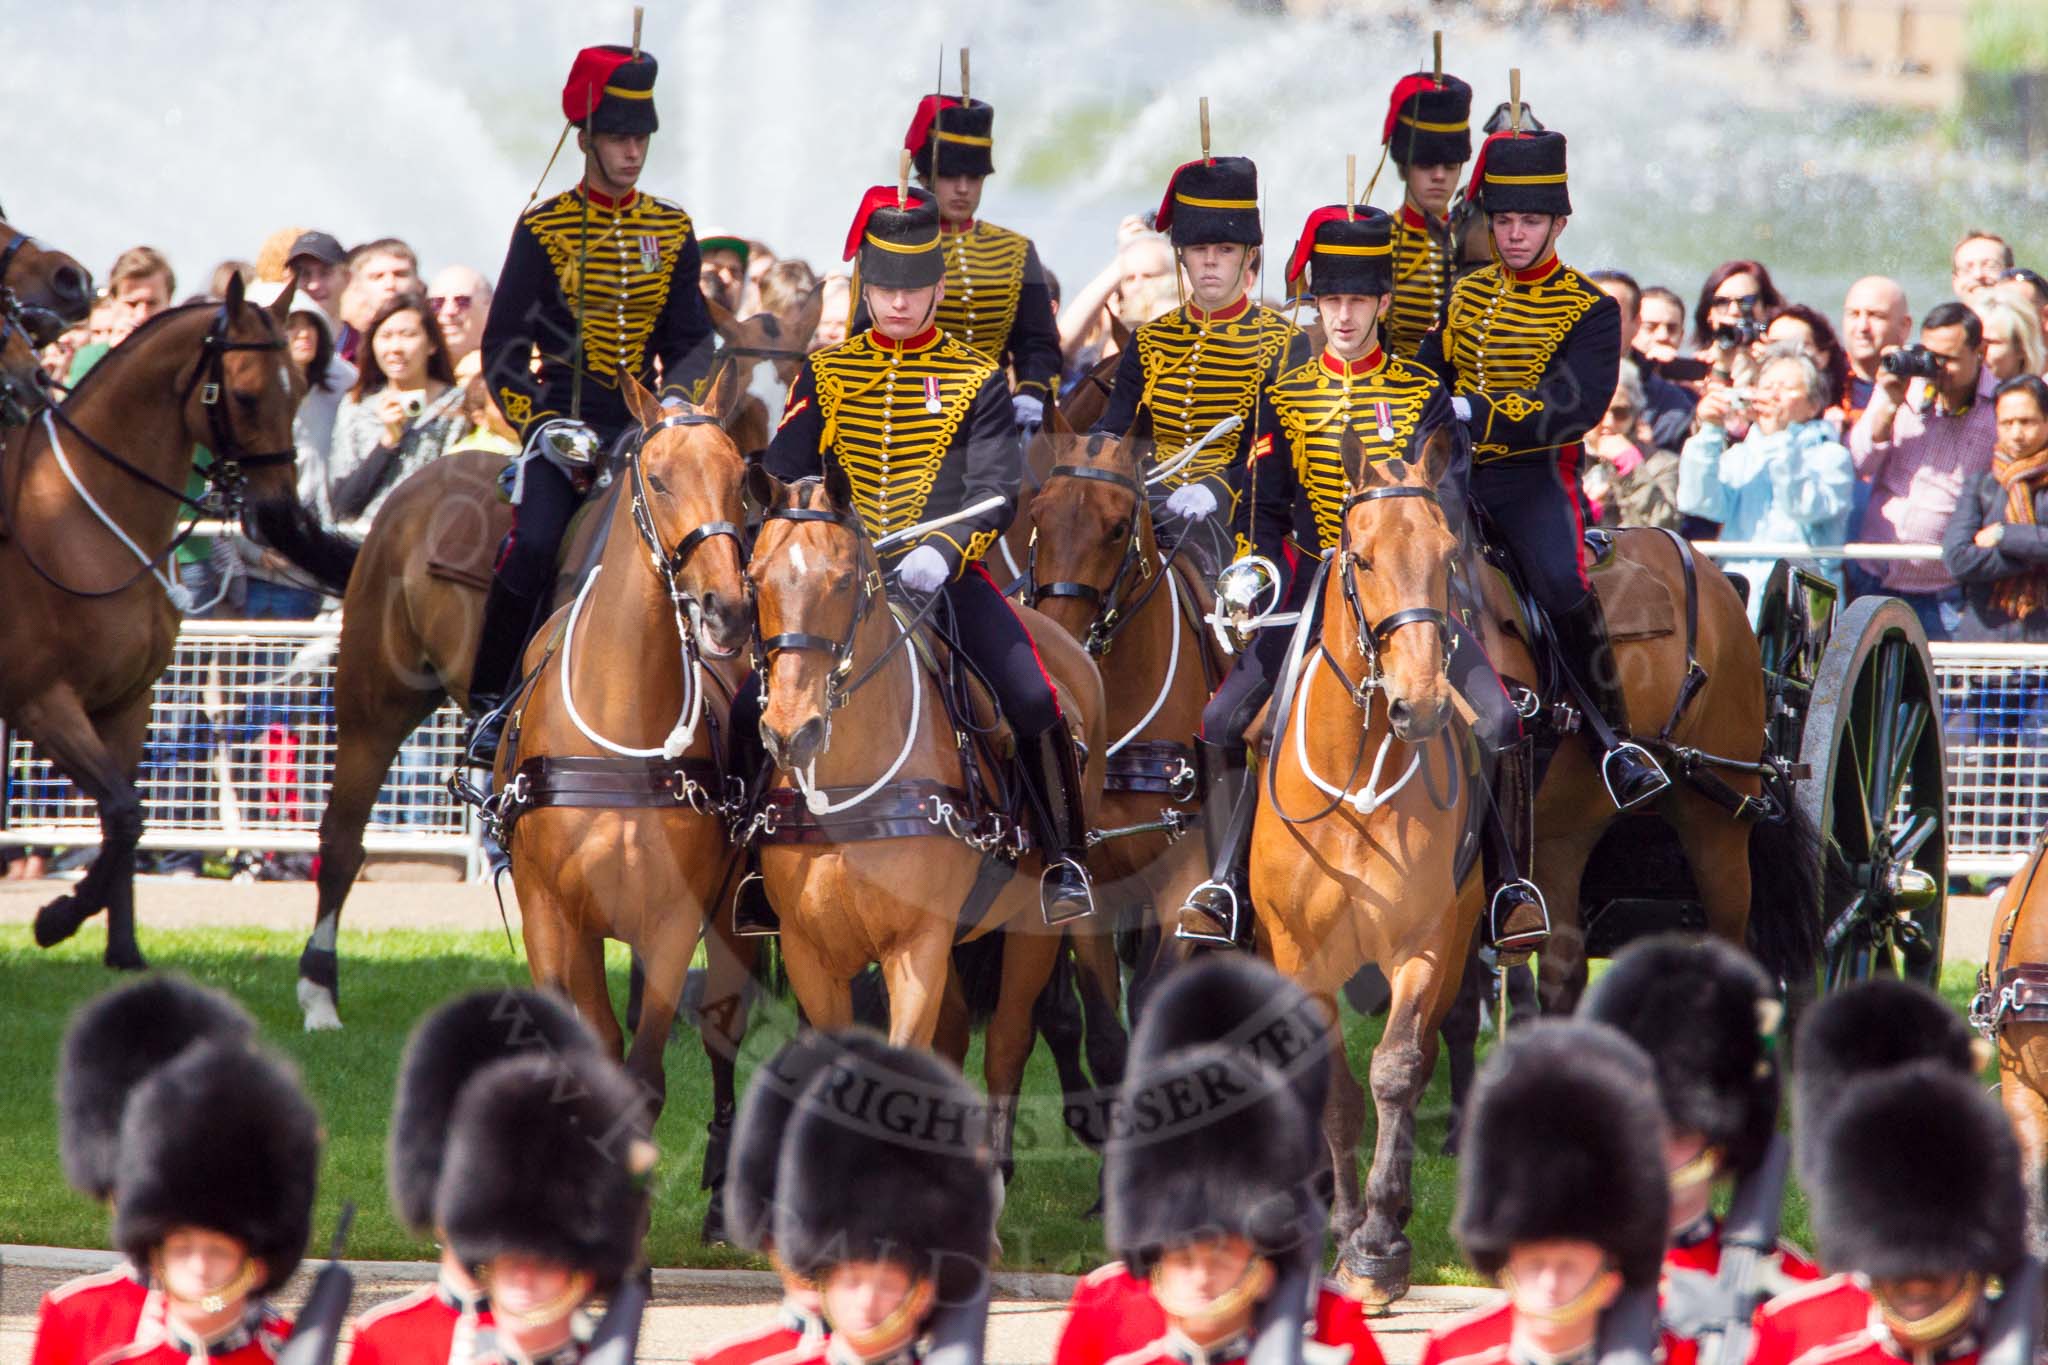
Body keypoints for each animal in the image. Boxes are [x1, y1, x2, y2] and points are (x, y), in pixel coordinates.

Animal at [8, 278, 339, 965]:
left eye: (299, 386)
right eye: (245, 394)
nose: (281, 512)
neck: (79, 519)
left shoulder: (126, 703)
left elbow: (124, 819)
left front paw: (121, 949)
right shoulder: (42, 702)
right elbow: (124, 812)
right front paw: (59, 916)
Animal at [487, 368, 753, 1113]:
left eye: (741, 475)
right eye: (658, 479)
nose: (727, 607)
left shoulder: (673, 922)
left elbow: (643, 1074)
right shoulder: (553, 916)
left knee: (724, 1030)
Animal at [745, 466, 1105, 1178]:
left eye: (844, 580)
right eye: (755, 578)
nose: (791, 733)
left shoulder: (916, 946)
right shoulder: (809, 954)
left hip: (1035, 927)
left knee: (1008, 1037)